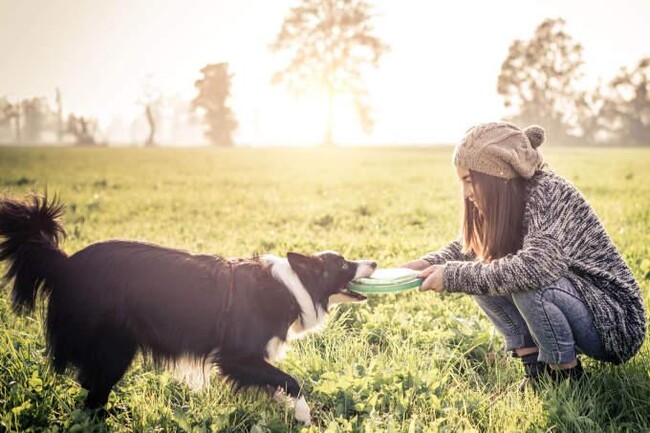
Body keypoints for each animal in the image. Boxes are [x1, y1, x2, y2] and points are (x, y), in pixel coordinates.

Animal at [0, 195, 374, 422]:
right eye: (343, 264)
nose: (372, 262)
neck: (292, 285)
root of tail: (65, 264)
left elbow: (278, 383)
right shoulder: (237, 356)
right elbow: (291, 381)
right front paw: (303, 414)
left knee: (91, 387)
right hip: (115, 345)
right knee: (94, 393)